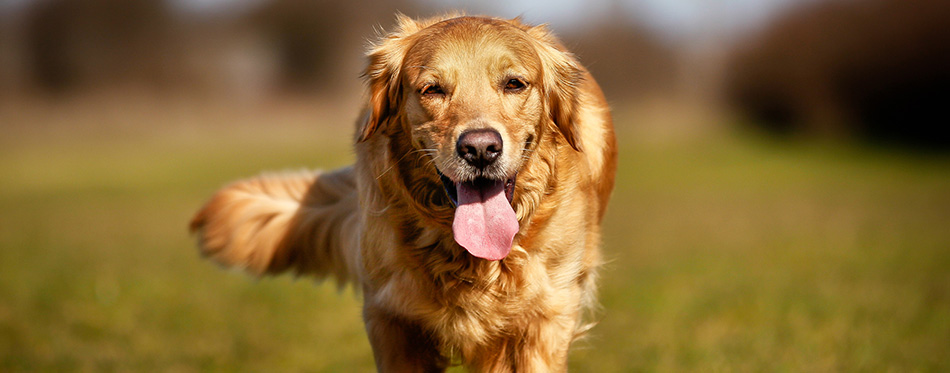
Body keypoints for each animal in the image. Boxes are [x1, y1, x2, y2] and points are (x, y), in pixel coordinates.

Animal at [193, 13, 620, 370]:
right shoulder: (392, 320)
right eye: (432, 90)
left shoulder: (543, 320)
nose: (480, 148)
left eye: (514, 84)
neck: (472, 259)